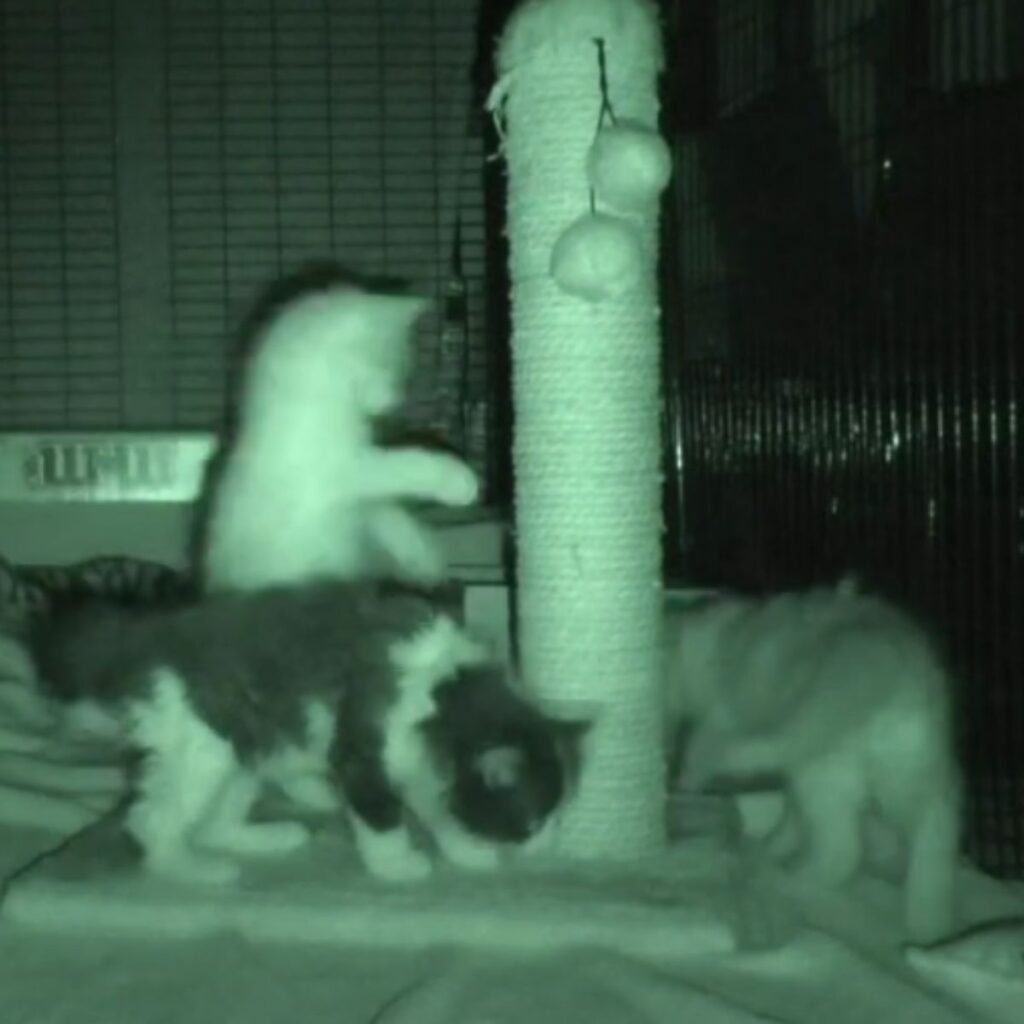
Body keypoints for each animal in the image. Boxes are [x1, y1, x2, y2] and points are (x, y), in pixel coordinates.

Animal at [25, 585, 585, 888]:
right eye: (533, 823)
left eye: (558, 819)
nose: (549, 850)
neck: (445, 694)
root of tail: (151, 631)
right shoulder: (362, 755)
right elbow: (382, 821)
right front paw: (397, 866)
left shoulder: (418, 765)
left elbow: (437, 810)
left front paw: (465, 852)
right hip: (203, 749)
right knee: (149, 820)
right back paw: (191, 869)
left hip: (243, 752)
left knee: (212, 823)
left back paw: (268, 838)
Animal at [196, 282, 483, 593]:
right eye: (394, 368)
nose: (397, 400)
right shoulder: (339, 469)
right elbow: (402, 466)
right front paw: (458, 482)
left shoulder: (358, 500)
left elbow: (386, 514)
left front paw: (422, 557)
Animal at [667, 577, 962, 942]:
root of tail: (892, 668)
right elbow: (790, 824)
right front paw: (772, 846)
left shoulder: (726, 717)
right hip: (913, 774)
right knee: (933, 841)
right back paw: (929, 927)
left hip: (824, 768)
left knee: (842, 851)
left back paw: (788, 877)